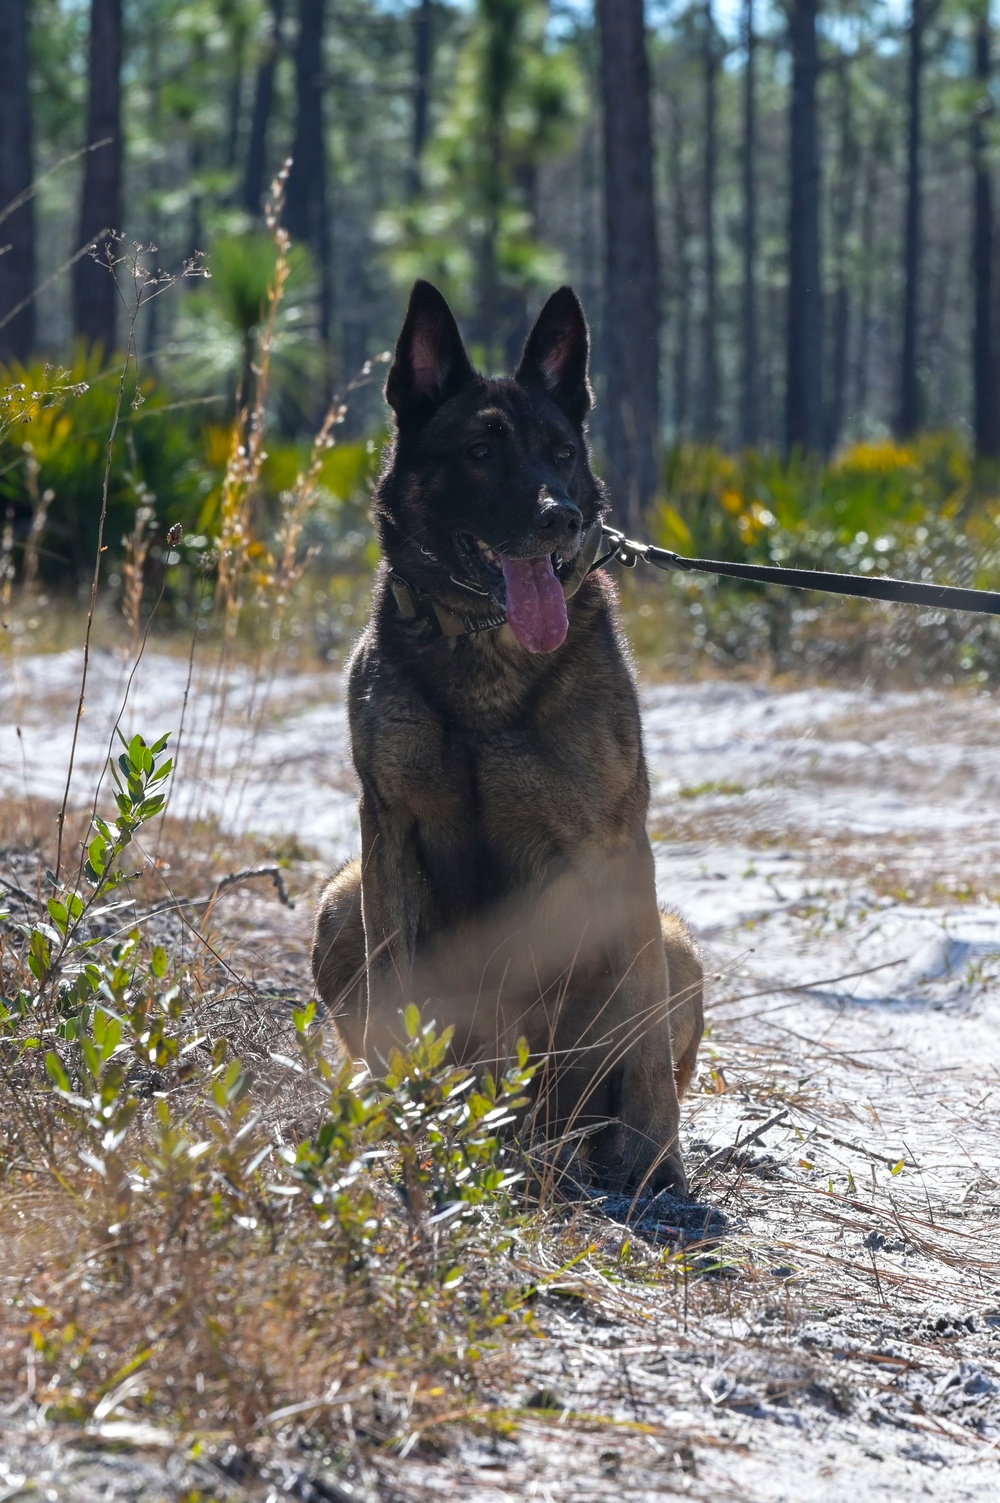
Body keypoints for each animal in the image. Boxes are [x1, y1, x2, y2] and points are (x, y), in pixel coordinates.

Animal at [312, 282, 700, 1190]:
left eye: (561, 452)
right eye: (483, 450)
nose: (560, 516)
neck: (484, 648)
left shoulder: (616, 844)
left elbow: (642, 1024)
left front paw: (653, 1155)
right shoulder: (388, 827)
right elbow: (399, 980)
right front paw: (402, 1116)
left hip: (675, 944)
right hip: (340, 899)